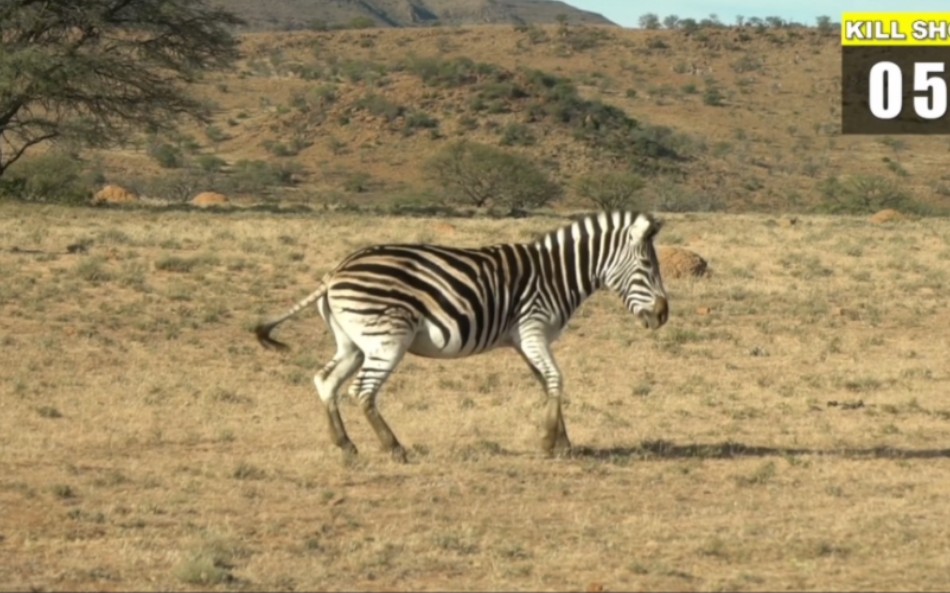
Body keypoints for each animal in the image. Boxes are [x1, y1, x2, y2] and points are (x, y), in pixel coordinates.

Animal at [255, 210, 668, 460]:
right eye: (647, 266)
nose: (663, 315)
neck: (556, 274)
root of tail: (336, 271)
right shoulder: (532, 329)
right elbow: (555, 379)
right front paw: (549, 442)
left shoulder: (526, 340)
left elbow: (545, 383)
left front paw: (563, 442)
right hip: (387, 339)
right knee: (362, 391)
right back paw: (394, 449)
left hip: (353, 342)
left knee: (325, 381)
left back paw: (345, 444)